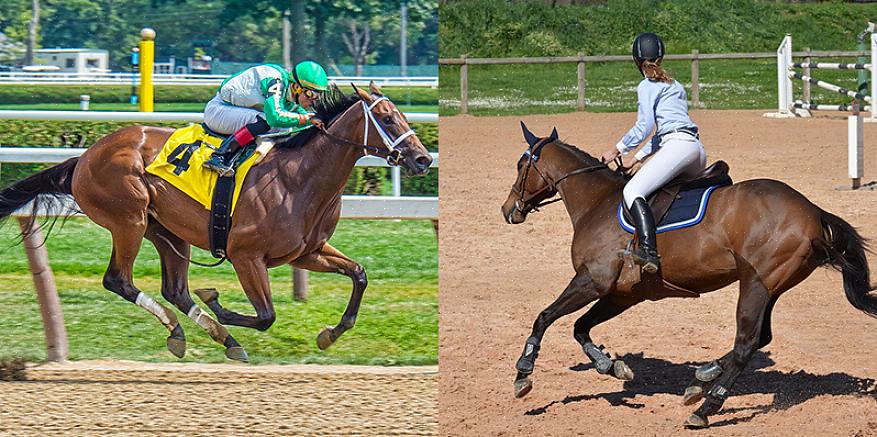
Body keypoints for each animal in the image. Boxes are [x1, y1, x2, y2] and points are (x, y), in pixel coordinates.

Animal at [0, 82, 432, 362]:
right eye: (387, 119)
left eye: (401, 115)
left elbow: (359, 274)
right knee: (118, 280)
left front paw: (330, 334)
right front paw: (217, 301)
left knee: (175, 290)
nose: (423, 159)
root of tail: (85, 157)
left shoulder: (307, 252)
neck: (300, 177)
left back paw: (209, 337)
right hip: (129, 219)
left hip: (166, 231)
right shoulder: (246, 256)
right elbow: (266, 316)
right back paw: (195, 329)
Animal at [500, 122, 876, 426]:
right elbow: (580, 327)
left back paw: (706, 407)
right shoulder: (623, 294)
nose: (507, 210)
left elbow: (545, 317)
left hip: (755, 284)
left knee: (745, 344)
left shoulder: (593, 280)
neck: (597, 201)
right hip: (770, 286)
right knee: (760, 338)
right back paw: (701, 378)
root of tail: (812, 210)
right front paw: (611, 366)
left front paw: (523, 372)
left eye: (521, 165)